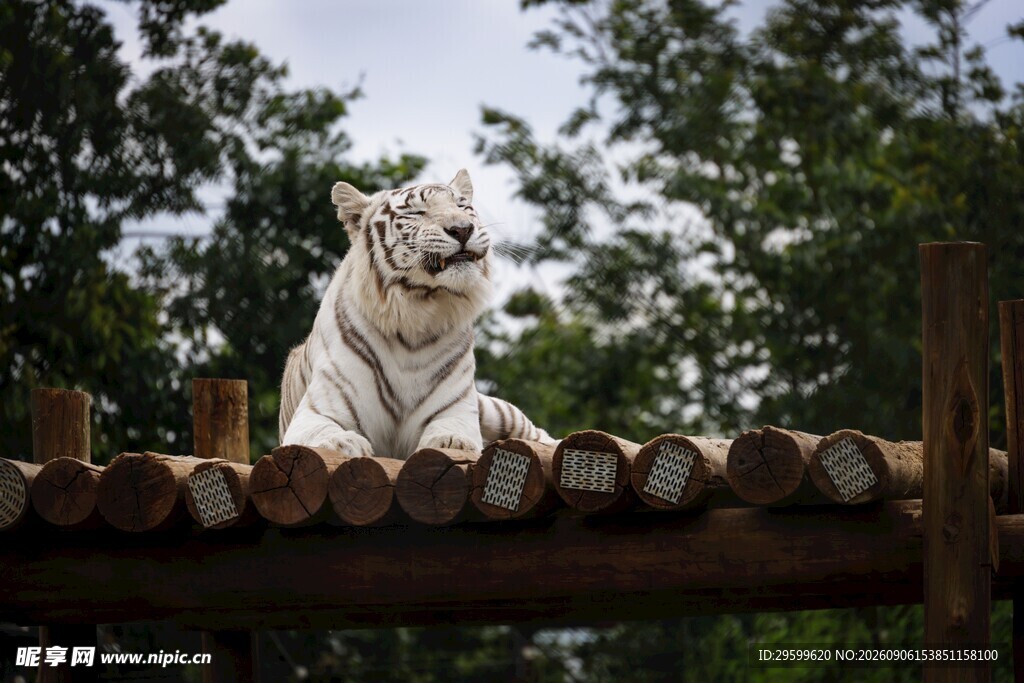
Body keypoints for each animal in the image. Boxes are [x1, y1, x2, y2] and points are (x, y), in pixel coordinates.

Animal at [278, 169, 555, 459]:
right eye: (416, 213)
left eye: (461, 206)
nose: (463, 228)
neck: (415, 316)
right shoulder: (316, 410)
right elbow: (324, 434)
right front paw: (344, 442)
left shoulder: (456, 408)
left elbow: (452, 433)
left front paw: (451, 442)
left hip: (495, 410)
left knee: (538, 434)